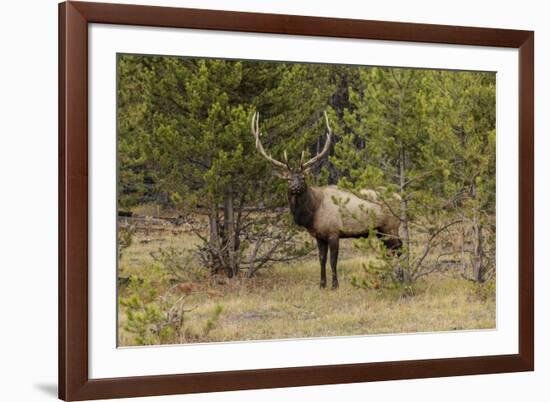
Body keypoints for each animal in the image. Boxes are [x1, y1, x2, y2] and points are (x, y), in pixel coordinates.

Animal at [252, 110, 404, 288]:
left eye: (303, 177)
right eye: (288, 179)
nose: (295, 187)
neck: (312, 214)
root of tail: (400, 197)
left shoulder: (334, 232)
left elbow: (333, 261)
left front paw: (335, 285)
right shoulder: (319, 236)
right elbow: (322, 260)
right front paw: (322, 284)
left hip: (391, 226)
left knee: (399, 249)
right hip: (381, 231)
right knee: (391, 251)